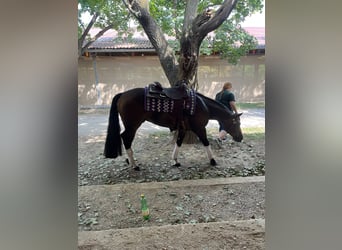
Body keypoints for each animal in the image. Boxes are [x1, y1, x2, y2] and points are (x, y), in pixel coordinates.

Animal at [104, 85, 243, 170]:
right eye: (236, 123)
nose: (240, 138)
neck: (203, 106)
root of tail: (123, 94)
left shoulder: (183, 129)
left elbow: (179, 143)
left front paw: (175, 161)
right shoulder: (200, 128)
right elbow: (206, 143)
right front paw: (213, 160)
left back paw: (130, 161)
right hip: (133, 126)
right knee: (126, 138)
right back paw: (134, 165)